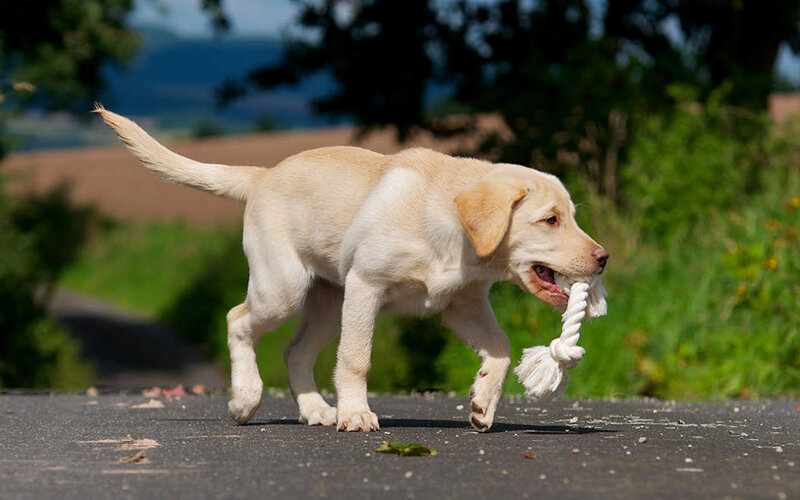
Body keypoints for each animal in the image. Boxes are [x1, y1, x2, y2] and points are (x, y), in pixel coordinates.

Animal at [95, 106, 608, 434]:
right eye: (550, 220)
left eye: (572, 216)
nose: (604, 258)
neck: (452, 232)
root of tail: (264, 174)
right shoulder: (367, 287)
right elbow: (357, 359)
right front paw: (357, 414)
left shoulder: (461, 305)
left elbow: (500, 347)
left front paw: (483, 401)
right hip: (284, 288)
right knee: (237, 320)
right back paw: (246, 398)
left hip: (327, 302)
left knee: (296, 352)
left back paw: (315, 409)